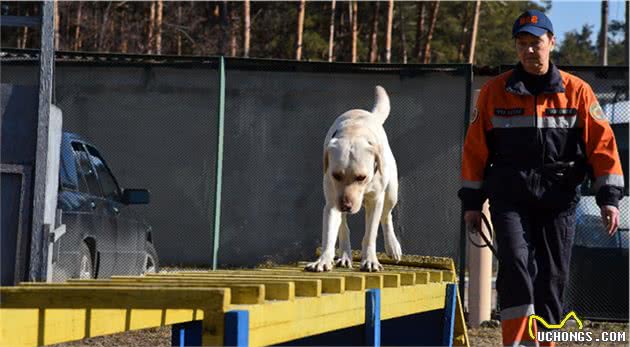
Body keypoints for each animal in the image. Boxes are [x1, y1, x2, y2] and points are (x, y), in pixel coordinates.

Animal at [308, 86, 404, 272]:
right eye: (336, 175)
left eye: (362, 177)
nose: (346, 205)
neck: (354, 130)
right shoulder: (331, 203)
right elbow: (330, 234)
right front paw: (323, 260)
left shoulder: (375, 200)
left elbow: (370, 235)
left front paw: (370, 260)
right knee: (344, 228)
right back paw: (345, 256)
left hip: (391, 193)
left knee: (386, 216)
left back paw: (393, 247)